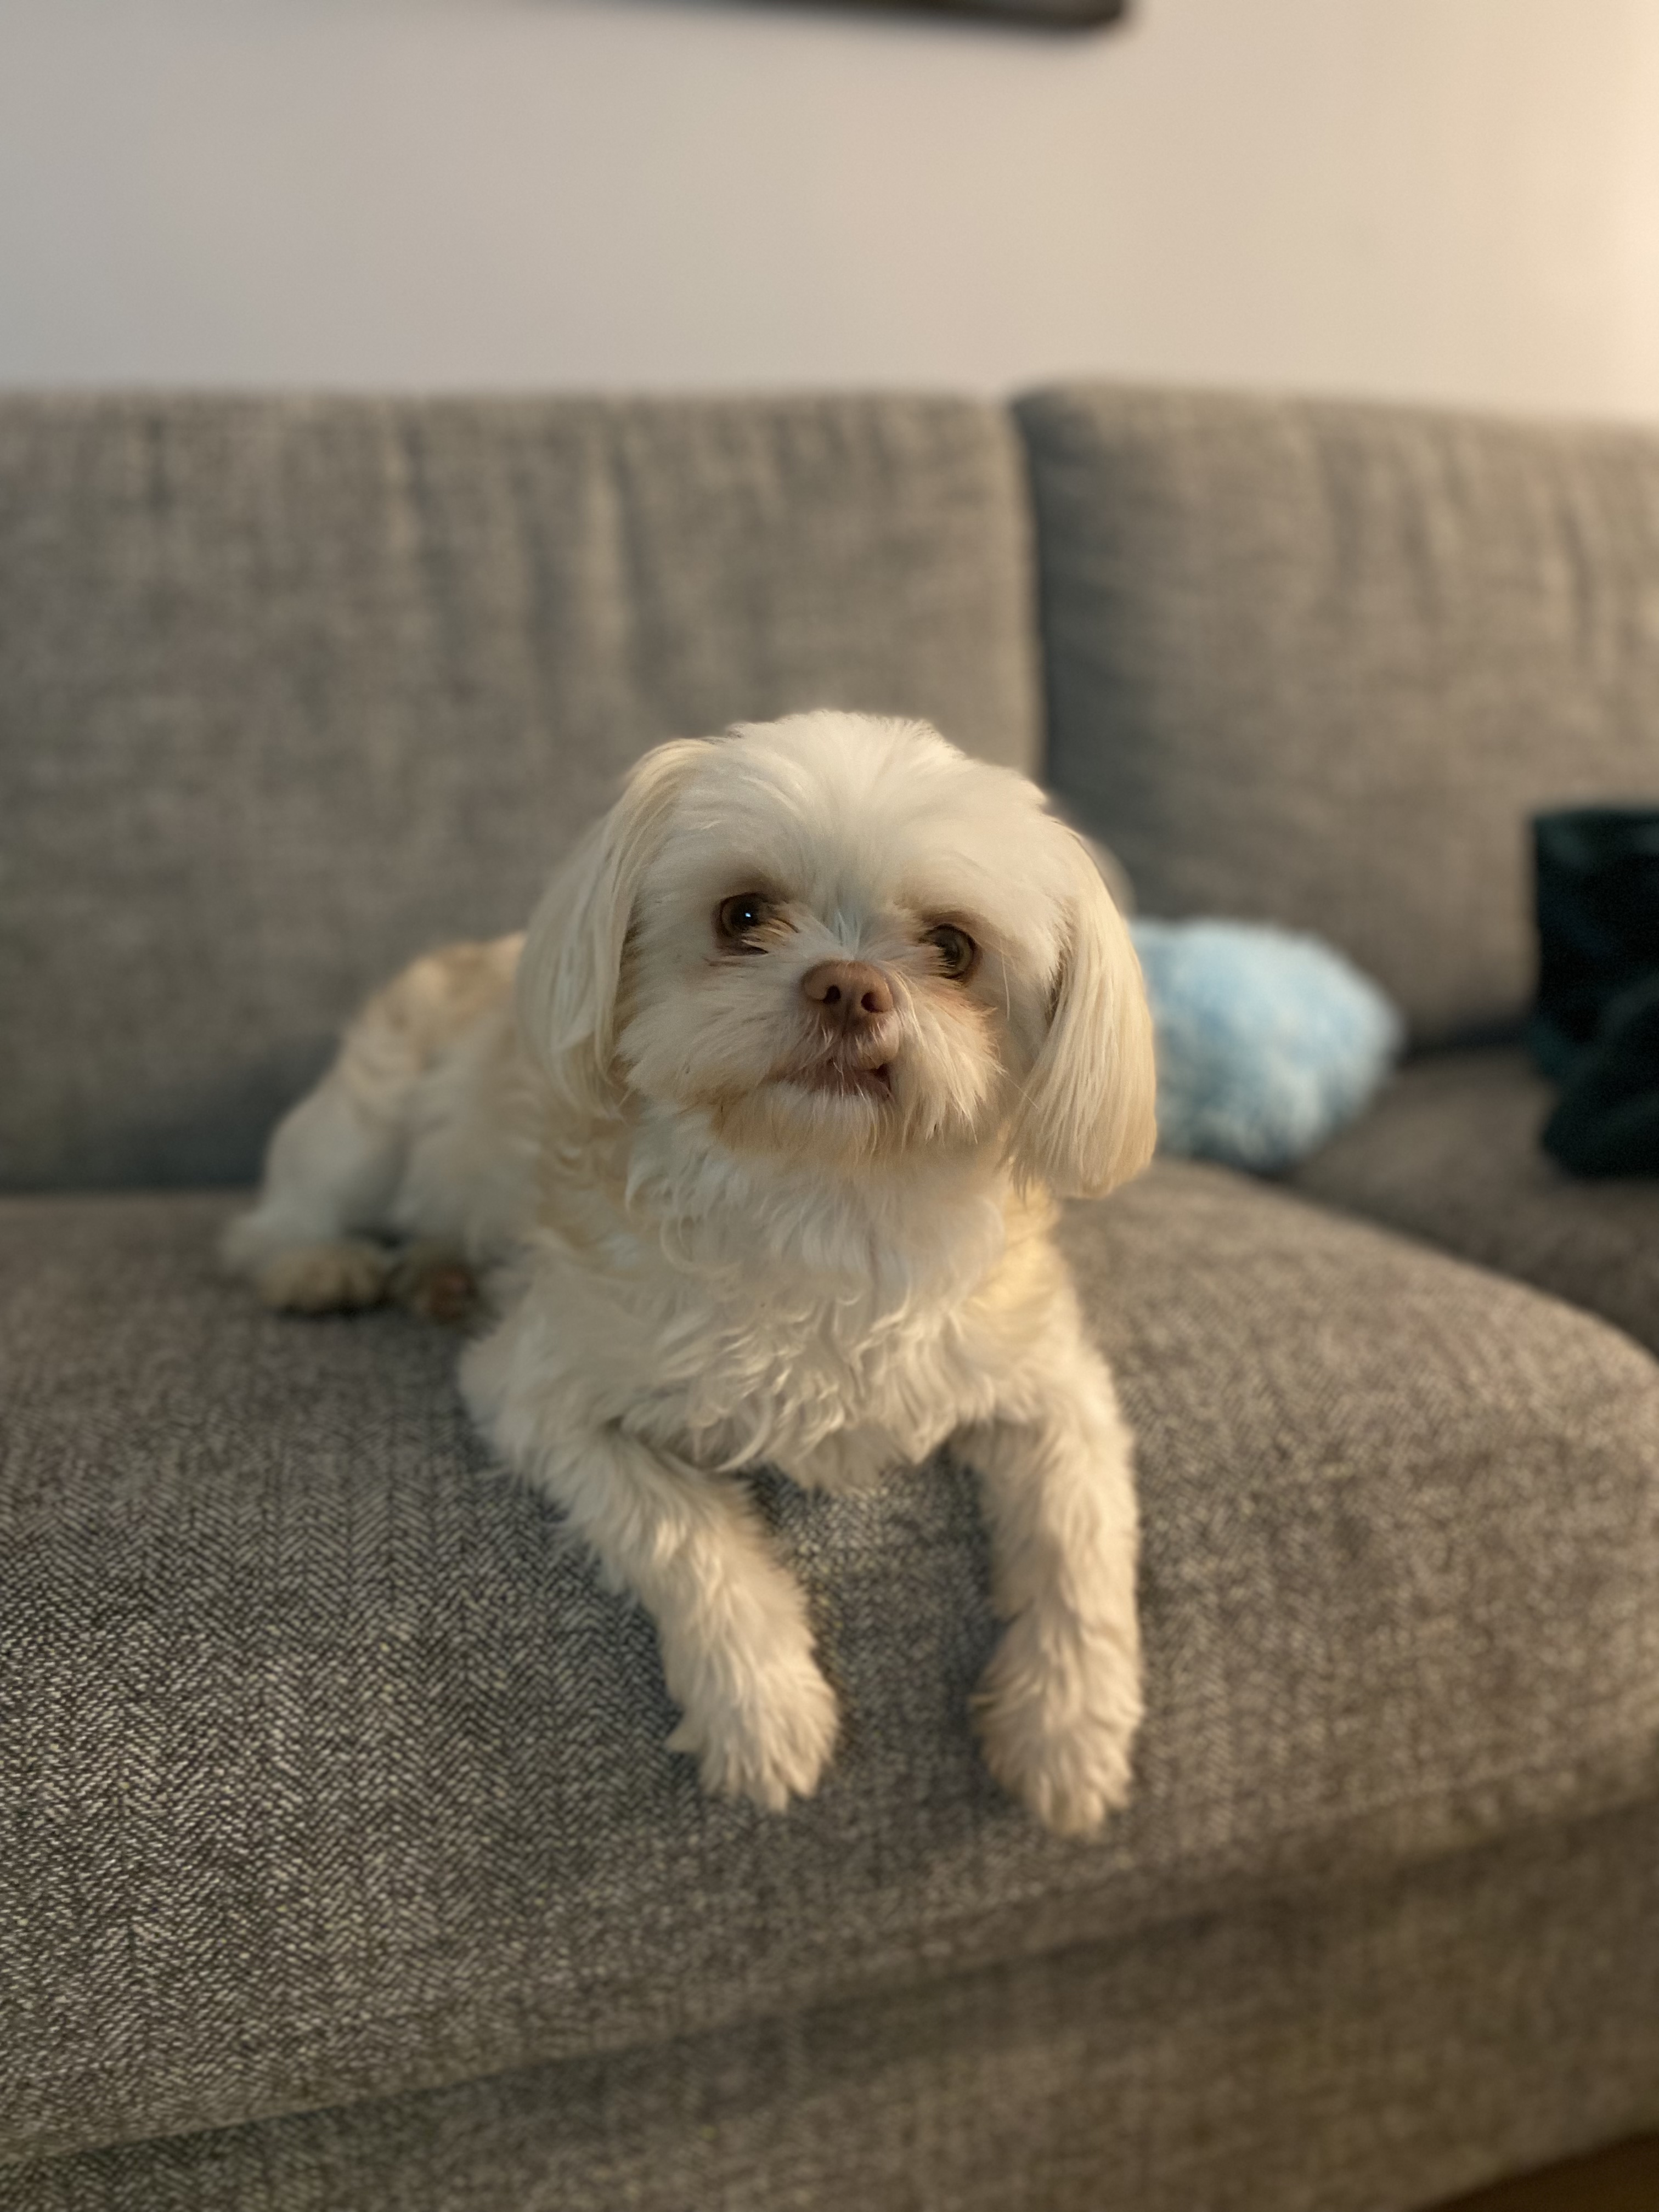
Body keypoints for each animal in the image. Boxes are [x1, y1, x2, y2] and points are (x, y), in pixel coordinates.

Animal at [224, 711, 1157, 1834]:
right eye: (742, 914)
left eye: (953, 947)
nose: (848, 984)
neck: (820, 1197)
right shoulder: (546, 1397)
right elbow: (688, 1538)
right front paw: (765, 1714)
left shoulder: (1052, 1386)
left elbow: (1078, 1546)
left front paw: (1067, 1733)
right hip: (366, 1128)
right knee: (270, 1222)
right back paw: (321, 1266)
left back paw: (439, 1279)